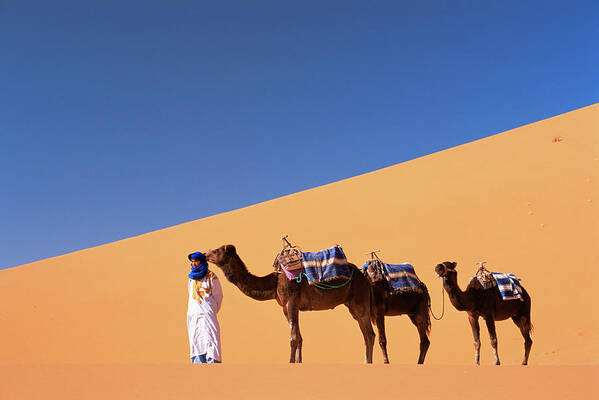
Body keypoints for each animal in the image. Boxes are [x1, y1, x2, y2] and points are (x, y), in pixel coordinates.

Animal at [206, 245, 376, 364]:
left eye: (217, 250)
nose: (205, 254)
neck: (274, 282)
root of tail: (364, 276)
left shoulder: (291, 301)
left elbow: (293, 338)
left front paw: (290, 362)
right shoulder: (286, 307)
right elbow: (299, 337)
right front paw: (298, 362)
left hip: (359, 301)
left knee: (369, 333)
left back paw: (368, 363)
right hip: (353, 305)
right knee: (367, 334)